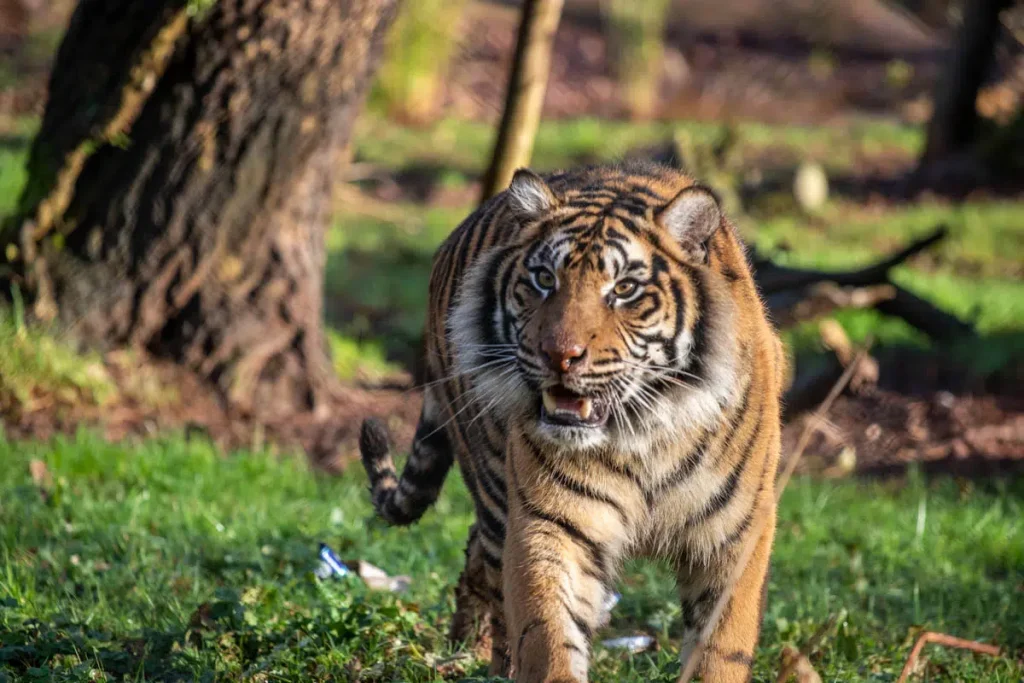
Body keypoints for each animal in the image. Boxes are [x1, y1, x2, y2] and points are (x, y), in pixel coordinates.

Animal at [359, 161, 786, 682]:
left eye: (624, 289)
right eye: (545, 278)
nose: (559, 356)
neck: (644, 434)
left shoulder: (737, 535)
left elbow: (720, 649)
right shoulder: (550, 523)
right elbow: (547, 632)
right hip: (494, 485)